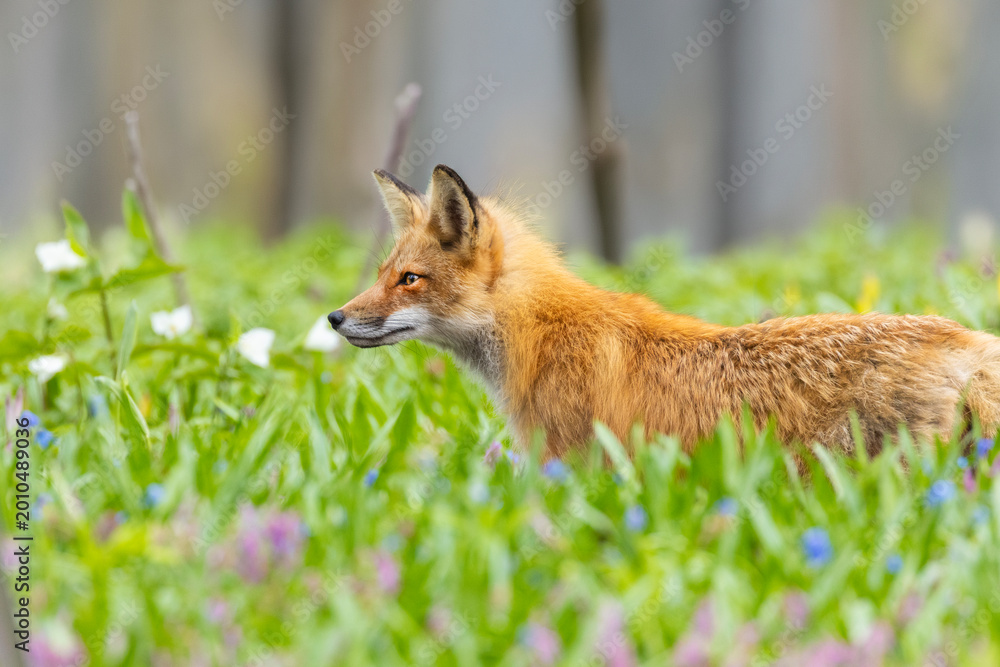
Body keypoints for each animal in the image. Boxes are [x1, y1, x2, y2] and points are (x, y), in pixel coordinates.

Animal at [329, 164, 1000, 459]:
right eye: (383, 275)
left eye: (409, 281)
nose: (334, 319)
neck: (541, 333)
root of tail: (967, 339)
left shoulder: (573, 466)